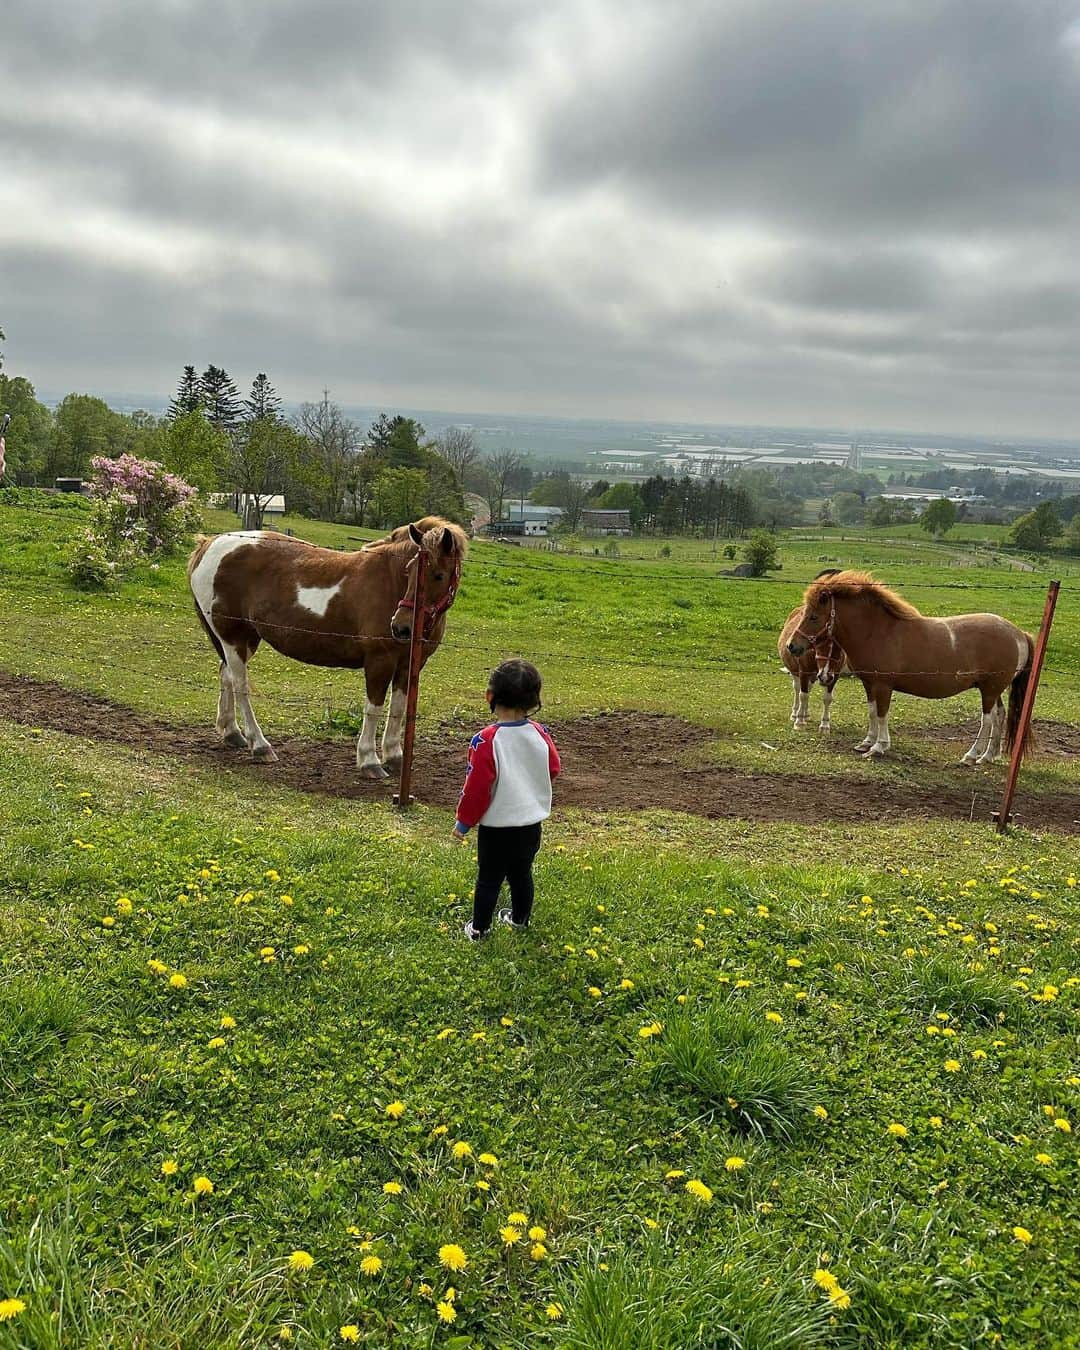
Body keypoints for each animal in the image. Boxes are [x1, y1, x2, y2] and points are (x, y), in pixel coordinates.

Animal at [187, 515, 467, 777]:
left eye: (438, 575)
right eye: (409, 570)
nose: (400, 627)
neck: (390, 582)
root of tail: (209, 544)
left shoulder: (410, 664)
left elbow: (398, 707)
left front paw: (395, 756)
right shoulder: (380, 661)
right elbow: (374, 708)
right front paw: (369, 760)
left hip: (245, 639)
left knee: (226, 676)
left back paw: (232, 733)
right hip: (232, 637)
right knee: (240, 686)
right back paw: (259, 745)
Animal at [788, 567, 1031, 761]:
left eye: (813, 616)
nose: (792, 645)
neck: (879, 631)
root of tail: (1019, 634)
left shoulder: (883, 686)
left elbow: (882, 714)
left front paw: (879, 747)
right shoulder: (869, 684)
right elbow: (872, 712)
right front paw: (867, 742)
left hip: (989, 690)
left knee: (987, 720)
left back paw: (971, 756)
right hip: (993, 689)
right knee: (1000, 716)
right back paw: (988, 756)